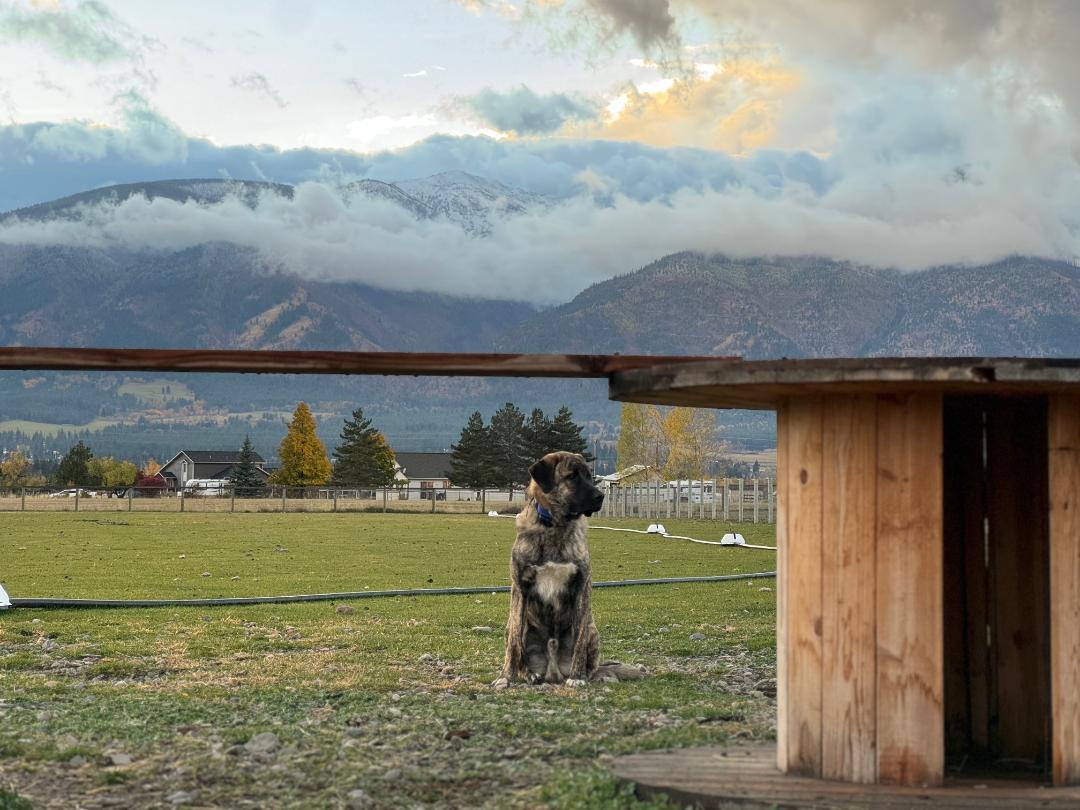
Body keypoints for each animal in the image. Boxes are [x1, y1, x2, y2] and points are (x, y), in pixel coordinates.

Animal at [494, 453, 643, 686]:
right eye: (571, 476)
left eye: (590, 476)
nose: (600, 496)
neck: (556, 526)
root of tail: (553, 671)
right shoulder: (520, 588)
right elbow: (514, 643)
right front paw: (505, 677)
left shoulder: (582, 587)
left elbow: (579, 641)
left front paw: (576, 677)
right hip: (514, 624)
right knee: (517, 642)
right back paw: (530, 674)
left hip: (593, 629)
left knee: (594, 666)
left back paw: (595, 675)